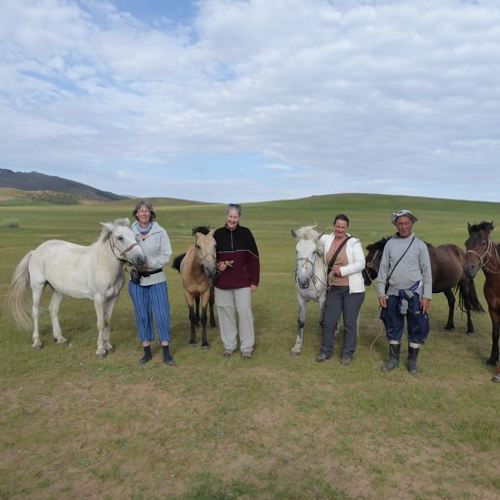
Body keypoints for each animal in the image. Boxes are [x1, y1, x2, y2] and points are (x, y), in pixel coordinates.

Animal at [5, 217, 146, 358]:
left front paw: (108, 346)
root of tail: (35, 251)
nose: (141, 259)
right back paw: (37, 342)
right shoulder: (99, 299)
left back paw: (59, 338)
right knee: (35, 312)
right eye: (120, 238)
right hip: (37, 287)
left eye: (135, 236)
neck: (103, 264)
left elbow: (107, 321)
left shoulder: (113, 298)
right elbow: (100, 323)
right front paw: (100, 350)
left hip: (57, 290)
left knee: (53, 309)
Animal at [290, 227, 328, 356]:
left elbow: (323, 321)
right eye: (296, 251)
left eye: (314, 251)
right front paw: (297, 346)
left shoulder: (323, 300)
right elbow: (301, 321)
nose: (302, 280)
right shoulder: (301, 298)